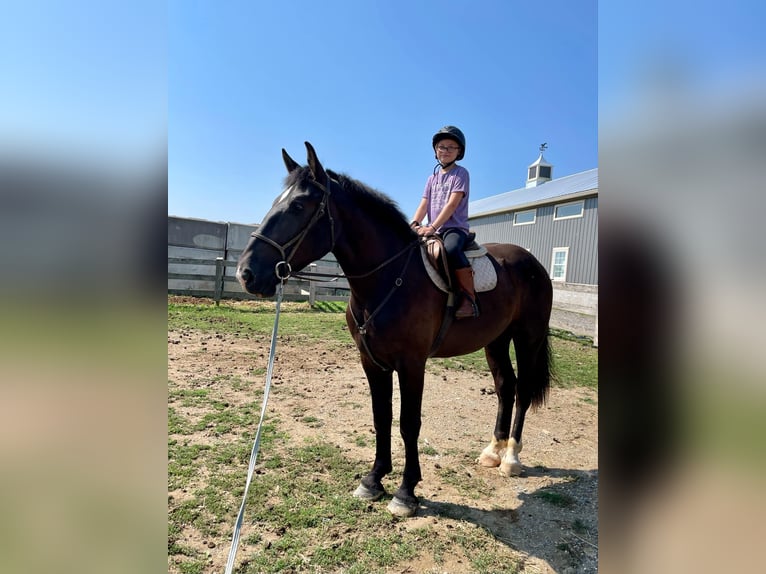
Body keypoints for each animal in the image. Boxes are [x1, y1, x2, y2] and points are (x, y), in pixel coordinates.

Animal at [237, 143, 556, 516]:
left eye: (299, 205)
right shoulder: (372, 362)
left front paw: (406, 491)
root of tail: (532, 263)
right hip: (496, 340)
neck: (388, 279)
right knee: (506, 387)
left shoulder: (412, 364)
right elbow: (382, 417)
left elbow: (408, 422)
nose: (246, 273)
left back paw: (511, 458)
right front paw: (374, 479)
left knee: (523, 391)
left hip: (527, 338)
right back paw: (493, 452)